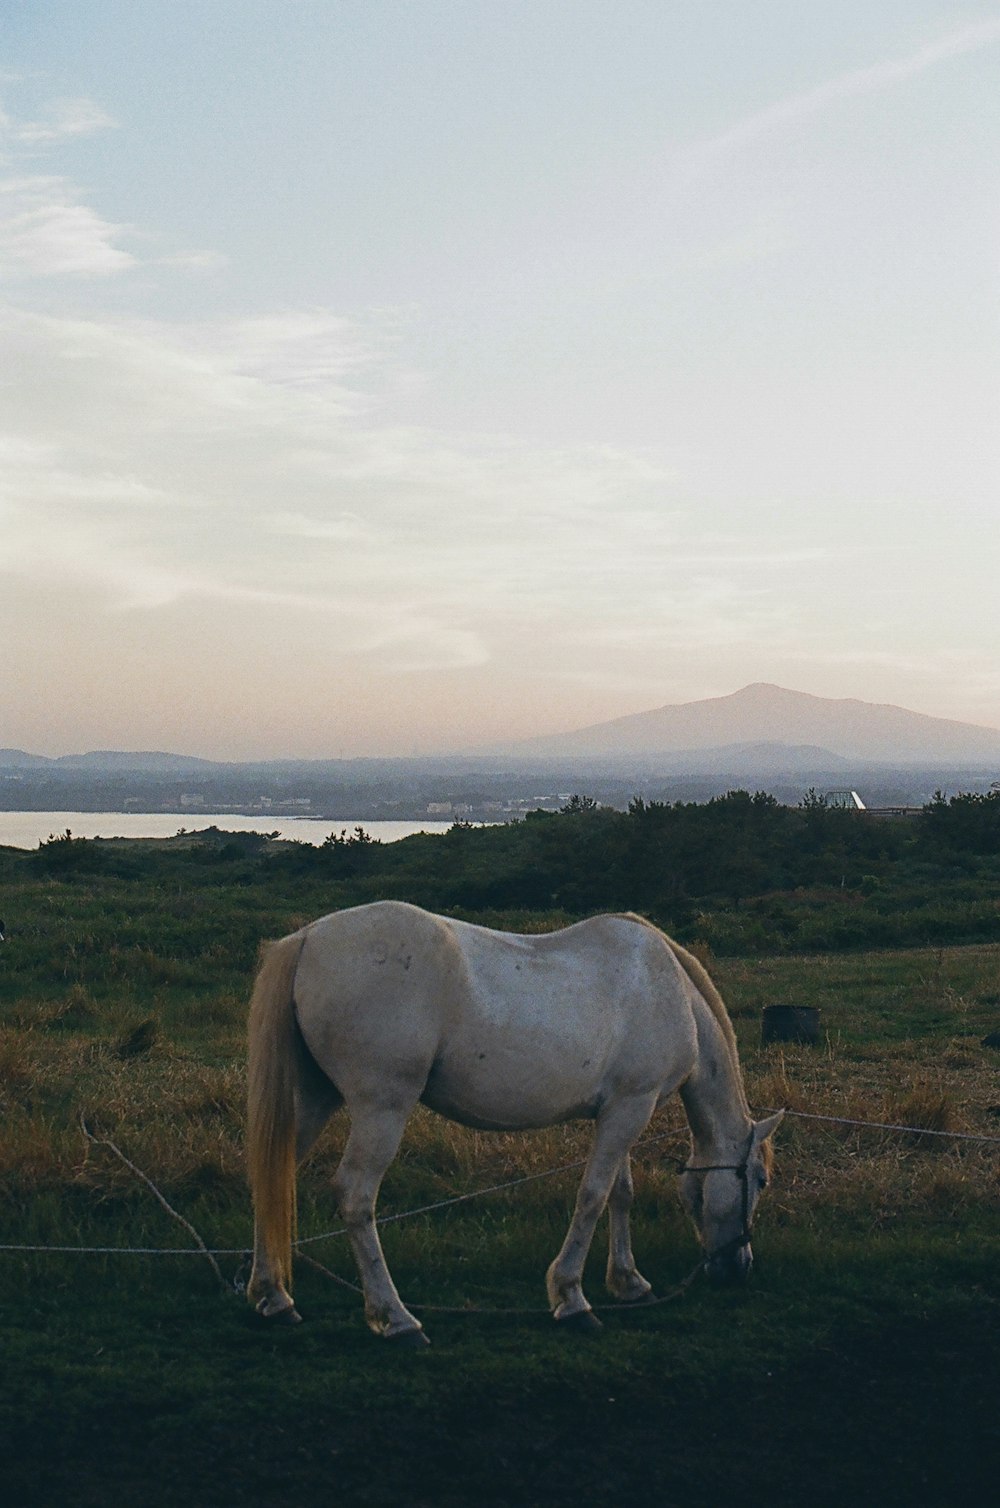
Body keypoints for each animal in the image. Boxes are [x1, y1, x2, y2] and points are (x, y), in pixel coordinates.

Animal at [245, 898, 784, 1339]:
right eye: (758, 1179)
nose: (739, 1266)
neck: (665, 986)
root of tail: (307, 938)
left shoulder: (620, 1110)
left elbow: (619, 1195)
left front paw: (629, 1281)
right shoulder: (631, 1108)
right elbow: (592, 1196)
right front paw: (571, 1299)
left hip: (315, 1100)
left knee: (273, 1177)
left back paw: (273, 1297)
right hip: (382, 1108)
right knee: (356, 1196)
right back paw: (395, 1318)